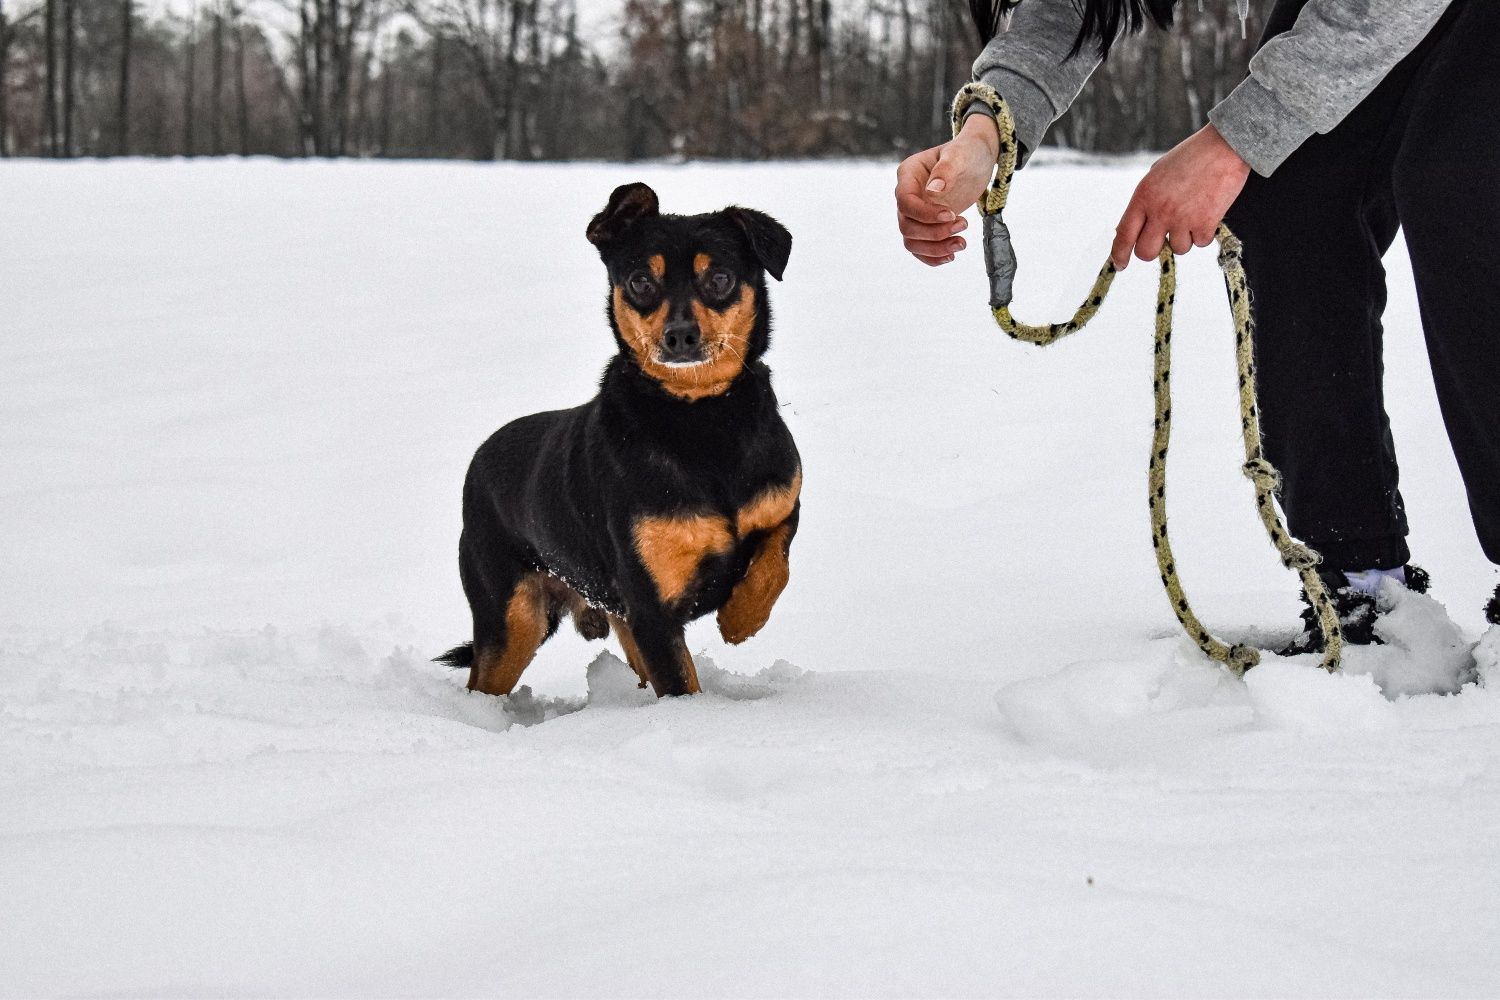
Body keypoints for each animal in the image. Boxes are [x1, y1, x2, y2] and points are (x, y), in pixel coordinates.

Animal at [438, 182, 804, 695]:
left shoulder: (784, 505)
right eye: (640, 282)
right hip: (512, 617)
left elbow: (775, 564)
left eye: (720, 278)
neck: (701, 418)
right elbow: (680, 683)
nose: (680, 335)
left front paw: (741, 618)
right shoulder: (651, 607)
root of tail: (479, 458)